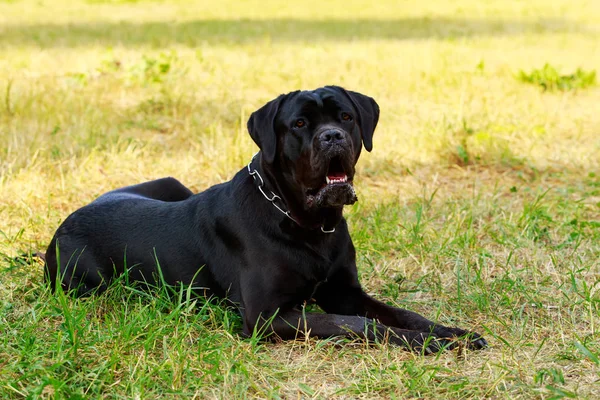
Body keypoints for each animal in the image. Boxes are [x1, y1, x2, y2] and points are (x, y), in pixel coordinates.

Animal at [47, 85, 488, 354]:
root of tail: (62, 226)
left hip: (173, 183)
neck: (307, 222)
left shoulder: (345, 291)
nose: (332, 137)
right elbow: (353, 324)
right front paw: (427, 343)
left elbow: (399, 313)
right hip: (90, 284)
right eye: (299, 124)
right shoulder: (265, 316)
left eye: (346, 117)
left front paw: (451, 333)